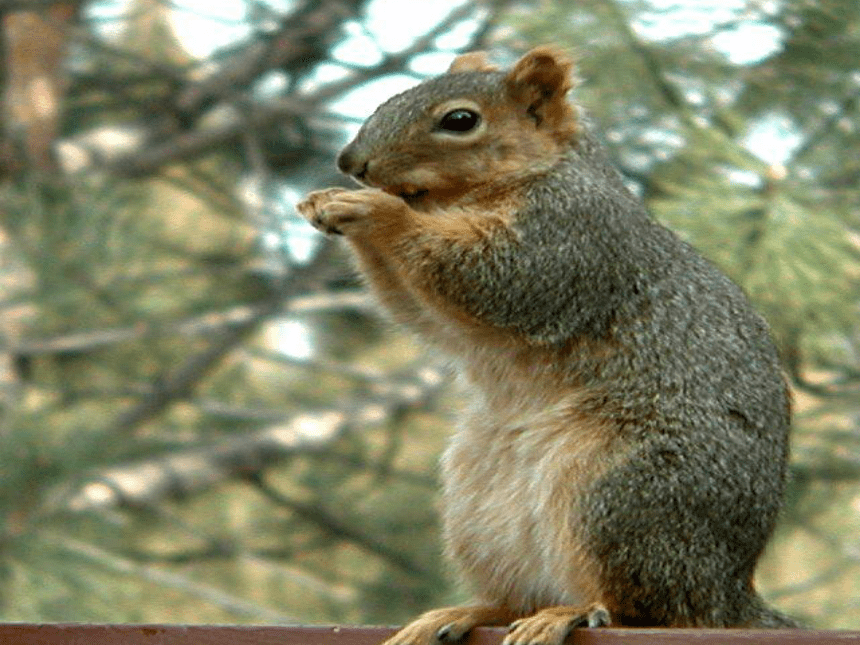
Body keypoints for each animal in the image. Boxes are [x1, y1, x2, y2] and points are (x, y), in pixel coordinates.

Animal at [298, 46, 800, 644]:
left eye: (460, 120)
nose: (351, 163)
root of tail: (727, 593)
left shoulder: (568, 236)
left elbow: (497, 274)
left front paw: (377, 211)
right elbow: (424, 314)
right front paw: (328, 202)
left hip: (619, 492)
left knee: (643, 608)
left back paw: (572, 613)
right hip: (479, 508)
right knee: (517, 597)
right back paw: (464, 614)